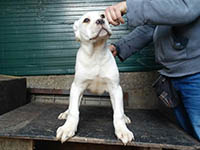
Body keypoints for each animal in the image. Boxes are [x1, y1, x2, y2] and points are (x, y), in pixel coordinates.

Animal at [56, 11, 134, 145]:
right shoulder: (77, 87)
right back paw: (66, 113)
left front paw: (123, 130)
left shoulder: (115, 88)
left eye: (103, 15)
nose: (100, 21)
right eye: (86, 20)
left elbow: (118, 113)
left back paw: (125, 117)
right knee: (72, 106)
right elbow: (74, 111)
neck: (96, 53)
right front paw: (68, 128)